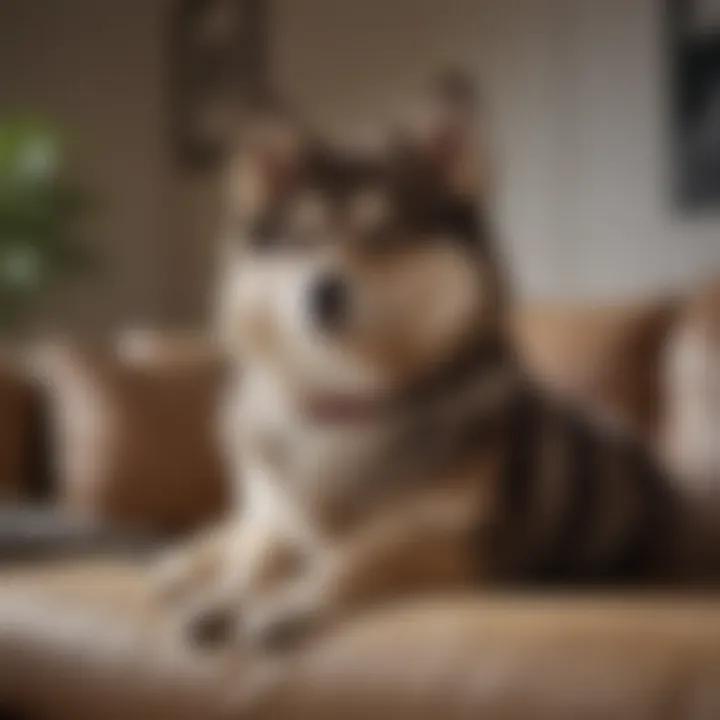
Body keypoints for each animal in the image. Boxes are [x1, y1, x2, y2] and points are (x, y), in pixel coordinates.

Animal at [159, 74, 704, 652]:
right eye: (301, 241)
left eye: (384, 235)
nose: (322, 292)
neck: (350, 401)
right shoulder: (280, 517)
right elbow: (259, 557)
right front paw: (225, 598)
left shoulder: (451, 542)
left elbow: (351, 558)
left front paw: (285, 605)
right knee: (235, 532)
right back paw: (183, 567)